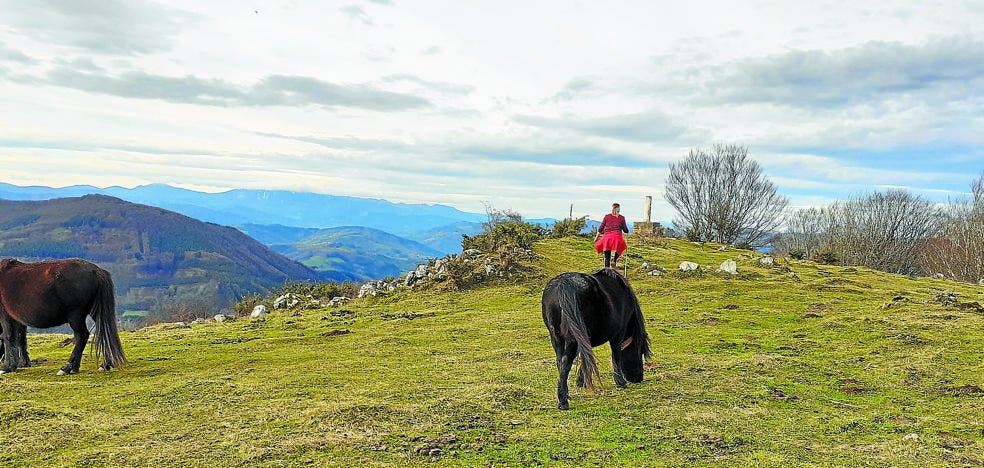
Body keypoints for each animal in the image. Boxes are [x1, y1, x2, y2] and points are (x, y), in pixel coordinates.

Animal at [540, 268, 648, 408]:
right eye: (639, 351)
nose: (638, 378)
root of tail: (563, 285)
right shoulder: (618, 335)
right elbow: (616, 355)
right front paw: (620, 382)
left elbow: (586, 357)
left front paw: (581, 381)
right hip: (571, 340)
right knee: (565, 361)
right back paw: (563, 401)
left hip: (557, 338)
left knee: (560, 362)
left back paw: (565, 394)